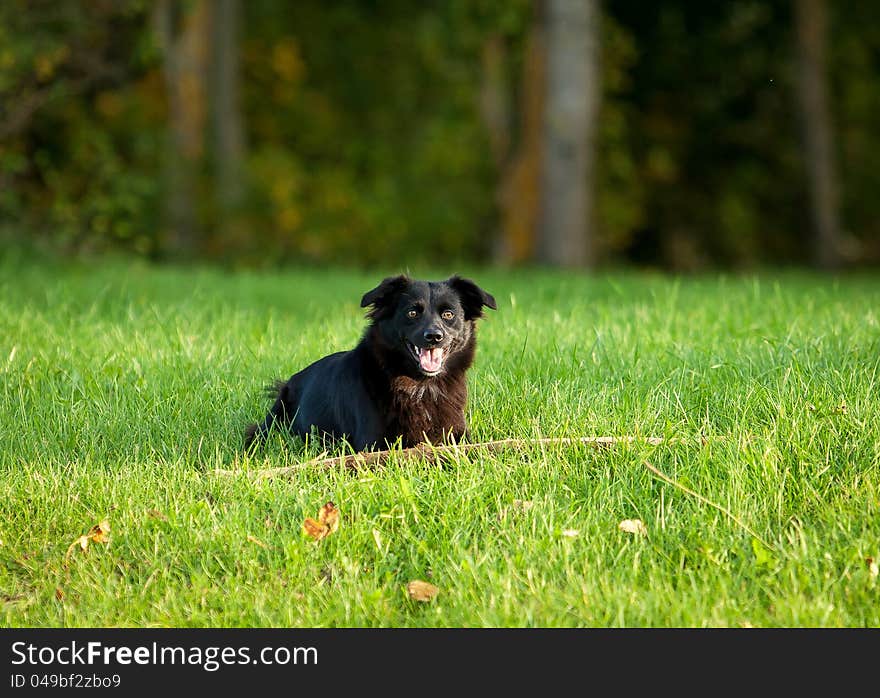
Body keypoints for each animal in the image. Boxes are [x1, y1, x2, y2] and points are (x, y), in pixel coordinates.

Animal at [244, 274, 496, 448]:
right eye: (412, 313)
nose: (434, 336)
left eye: (448, 314)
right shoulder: (375, 443)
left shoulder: (457, 433)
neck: (421, 385)